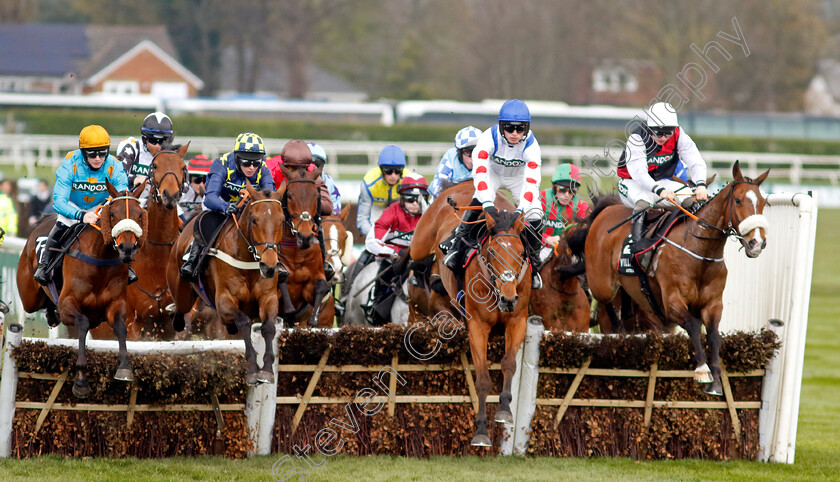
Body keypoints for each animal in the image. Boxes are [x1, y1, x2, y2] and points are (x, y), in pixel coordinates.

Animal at [17, 183, 148, 398]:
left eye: (139, 214)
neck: (100, 260)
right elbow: (83, 323)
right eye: (112, 214)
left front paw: (124, 368)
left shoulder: (115, 304)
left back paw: (51, 315)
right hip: (29, 298)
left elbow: (120, 328)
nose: (127, 248)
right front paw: (81, 381)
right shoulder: (68, 304)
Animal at [92, 142, 189, 338]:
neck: (157, 257)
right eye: (155, 166)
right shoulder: (131, 324)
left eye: (182, 167)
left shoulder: (168, 325)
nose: (170, 195)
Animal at [166, 181, 288, 384]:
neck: (247, 258)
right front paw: (253, 368)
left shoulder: (269, 297)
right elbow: (244, 321)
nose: (269, 266)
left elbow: (268, 327)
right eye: (254, 220)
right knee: (180, 314)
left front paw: (267, 370)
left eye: (282, 220)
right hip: (181, 291)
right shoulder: (224, 301)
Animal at [278, 165, 334, 328]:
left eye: (316, 195)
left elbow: (321, 286)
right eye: (289, 195)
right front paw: (289, 312)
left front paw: (313, 320)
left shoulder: (312, 282)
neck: (296, 252)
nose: (305, 237)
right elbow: (281, 280)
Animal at [576, 162, 768, 396]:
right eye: (738, 200)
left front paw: (715, 382)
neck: (699, 252)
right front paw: (702, 370)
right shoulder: (672, 303)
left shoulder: (713, 305)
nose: (757, 243)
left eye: (763, 202)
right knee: (605, 302)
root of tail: (605, 211)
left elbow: (714, 335)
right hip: (602, 284)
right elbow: (693, 325)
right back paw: (616, 328)